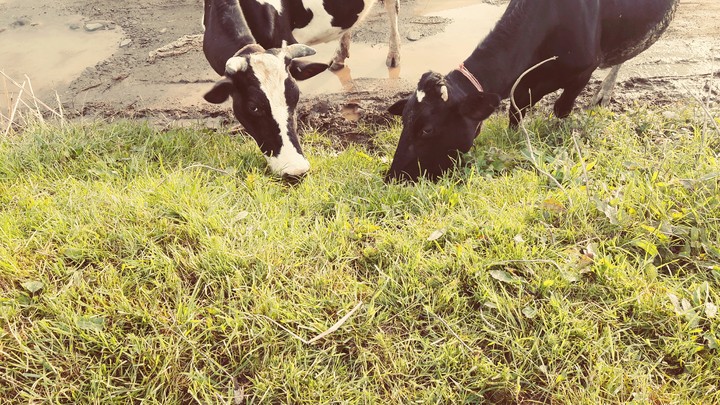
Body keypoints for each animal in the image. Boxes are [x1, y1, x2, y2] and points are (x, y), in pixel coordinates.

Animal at [202, 0, 401, 178]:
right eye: (253, 107)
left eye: (296, 96)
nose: (296, 170)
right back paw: (339, 57)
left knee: (393, 7)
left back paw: (394, 56)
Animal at [385, 0, 679, 182]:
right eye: (404, 120)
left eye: (427, 130)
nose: (392, 178)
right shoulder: (523, 82)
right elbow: (516, 111)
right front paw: (516, 138)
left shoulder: (583, 70)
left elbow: (561, 109)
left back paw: (604, 94)